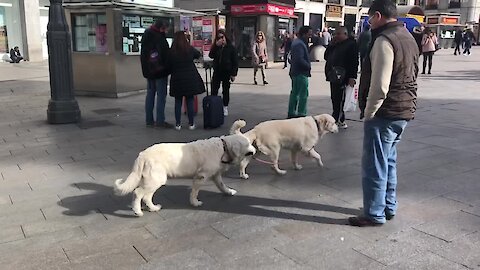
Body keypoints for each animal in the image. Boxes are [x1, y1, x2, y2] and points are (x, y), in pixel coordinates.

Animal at [113, 134, 255, 216]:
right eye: (247, 144)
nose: (254, 150)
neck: (223, 147)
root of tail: (142, 155)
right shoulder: (201, 176)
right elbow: (194, 192)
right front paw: (195, 203)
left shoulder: (215, 175)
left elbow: (222, 185)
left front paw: (229, 191)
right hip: (156, 179)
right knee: (138, 193)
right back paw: (138, 211)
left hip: (151, 180)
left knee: (146, 196)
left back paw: (153, 208)